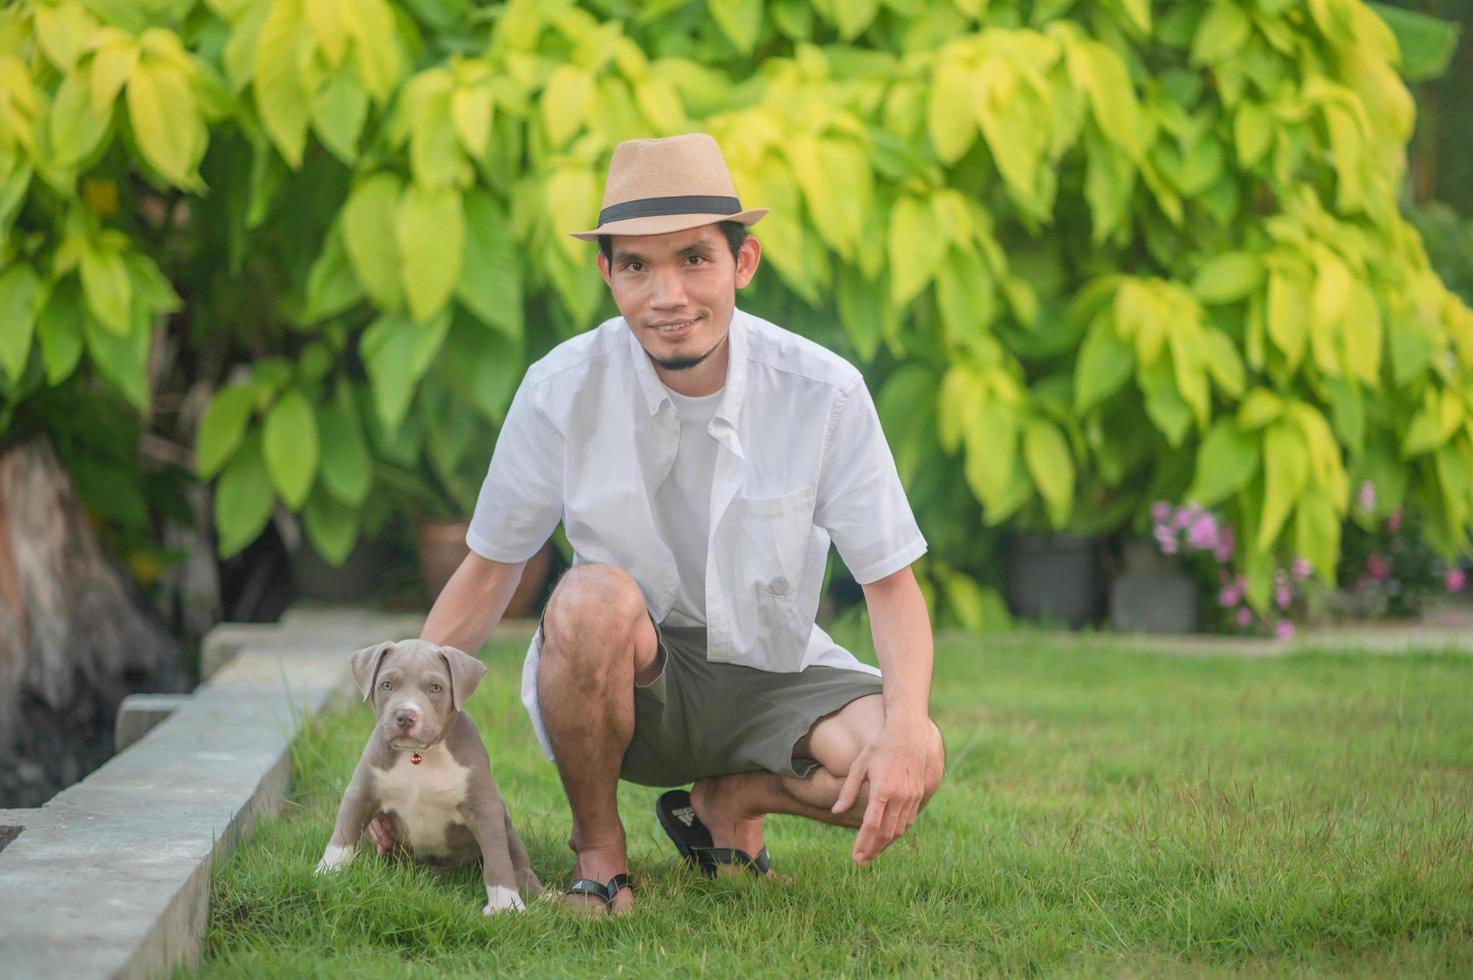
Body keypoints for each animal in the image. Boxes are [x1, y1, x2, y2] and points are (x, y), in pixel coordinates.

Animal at [313, 639, 545, 913]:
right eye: (387, 685)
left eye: (436, 688)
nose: (405, 716)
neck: (418, 756)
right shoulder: (361, 792)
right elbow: (342, 836)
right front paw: (326, 873)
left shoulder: (484, 808)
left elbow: (497, 856)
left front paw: (505, 905)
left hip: (507, 825)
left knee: (520, 863)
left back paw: (545, 896)